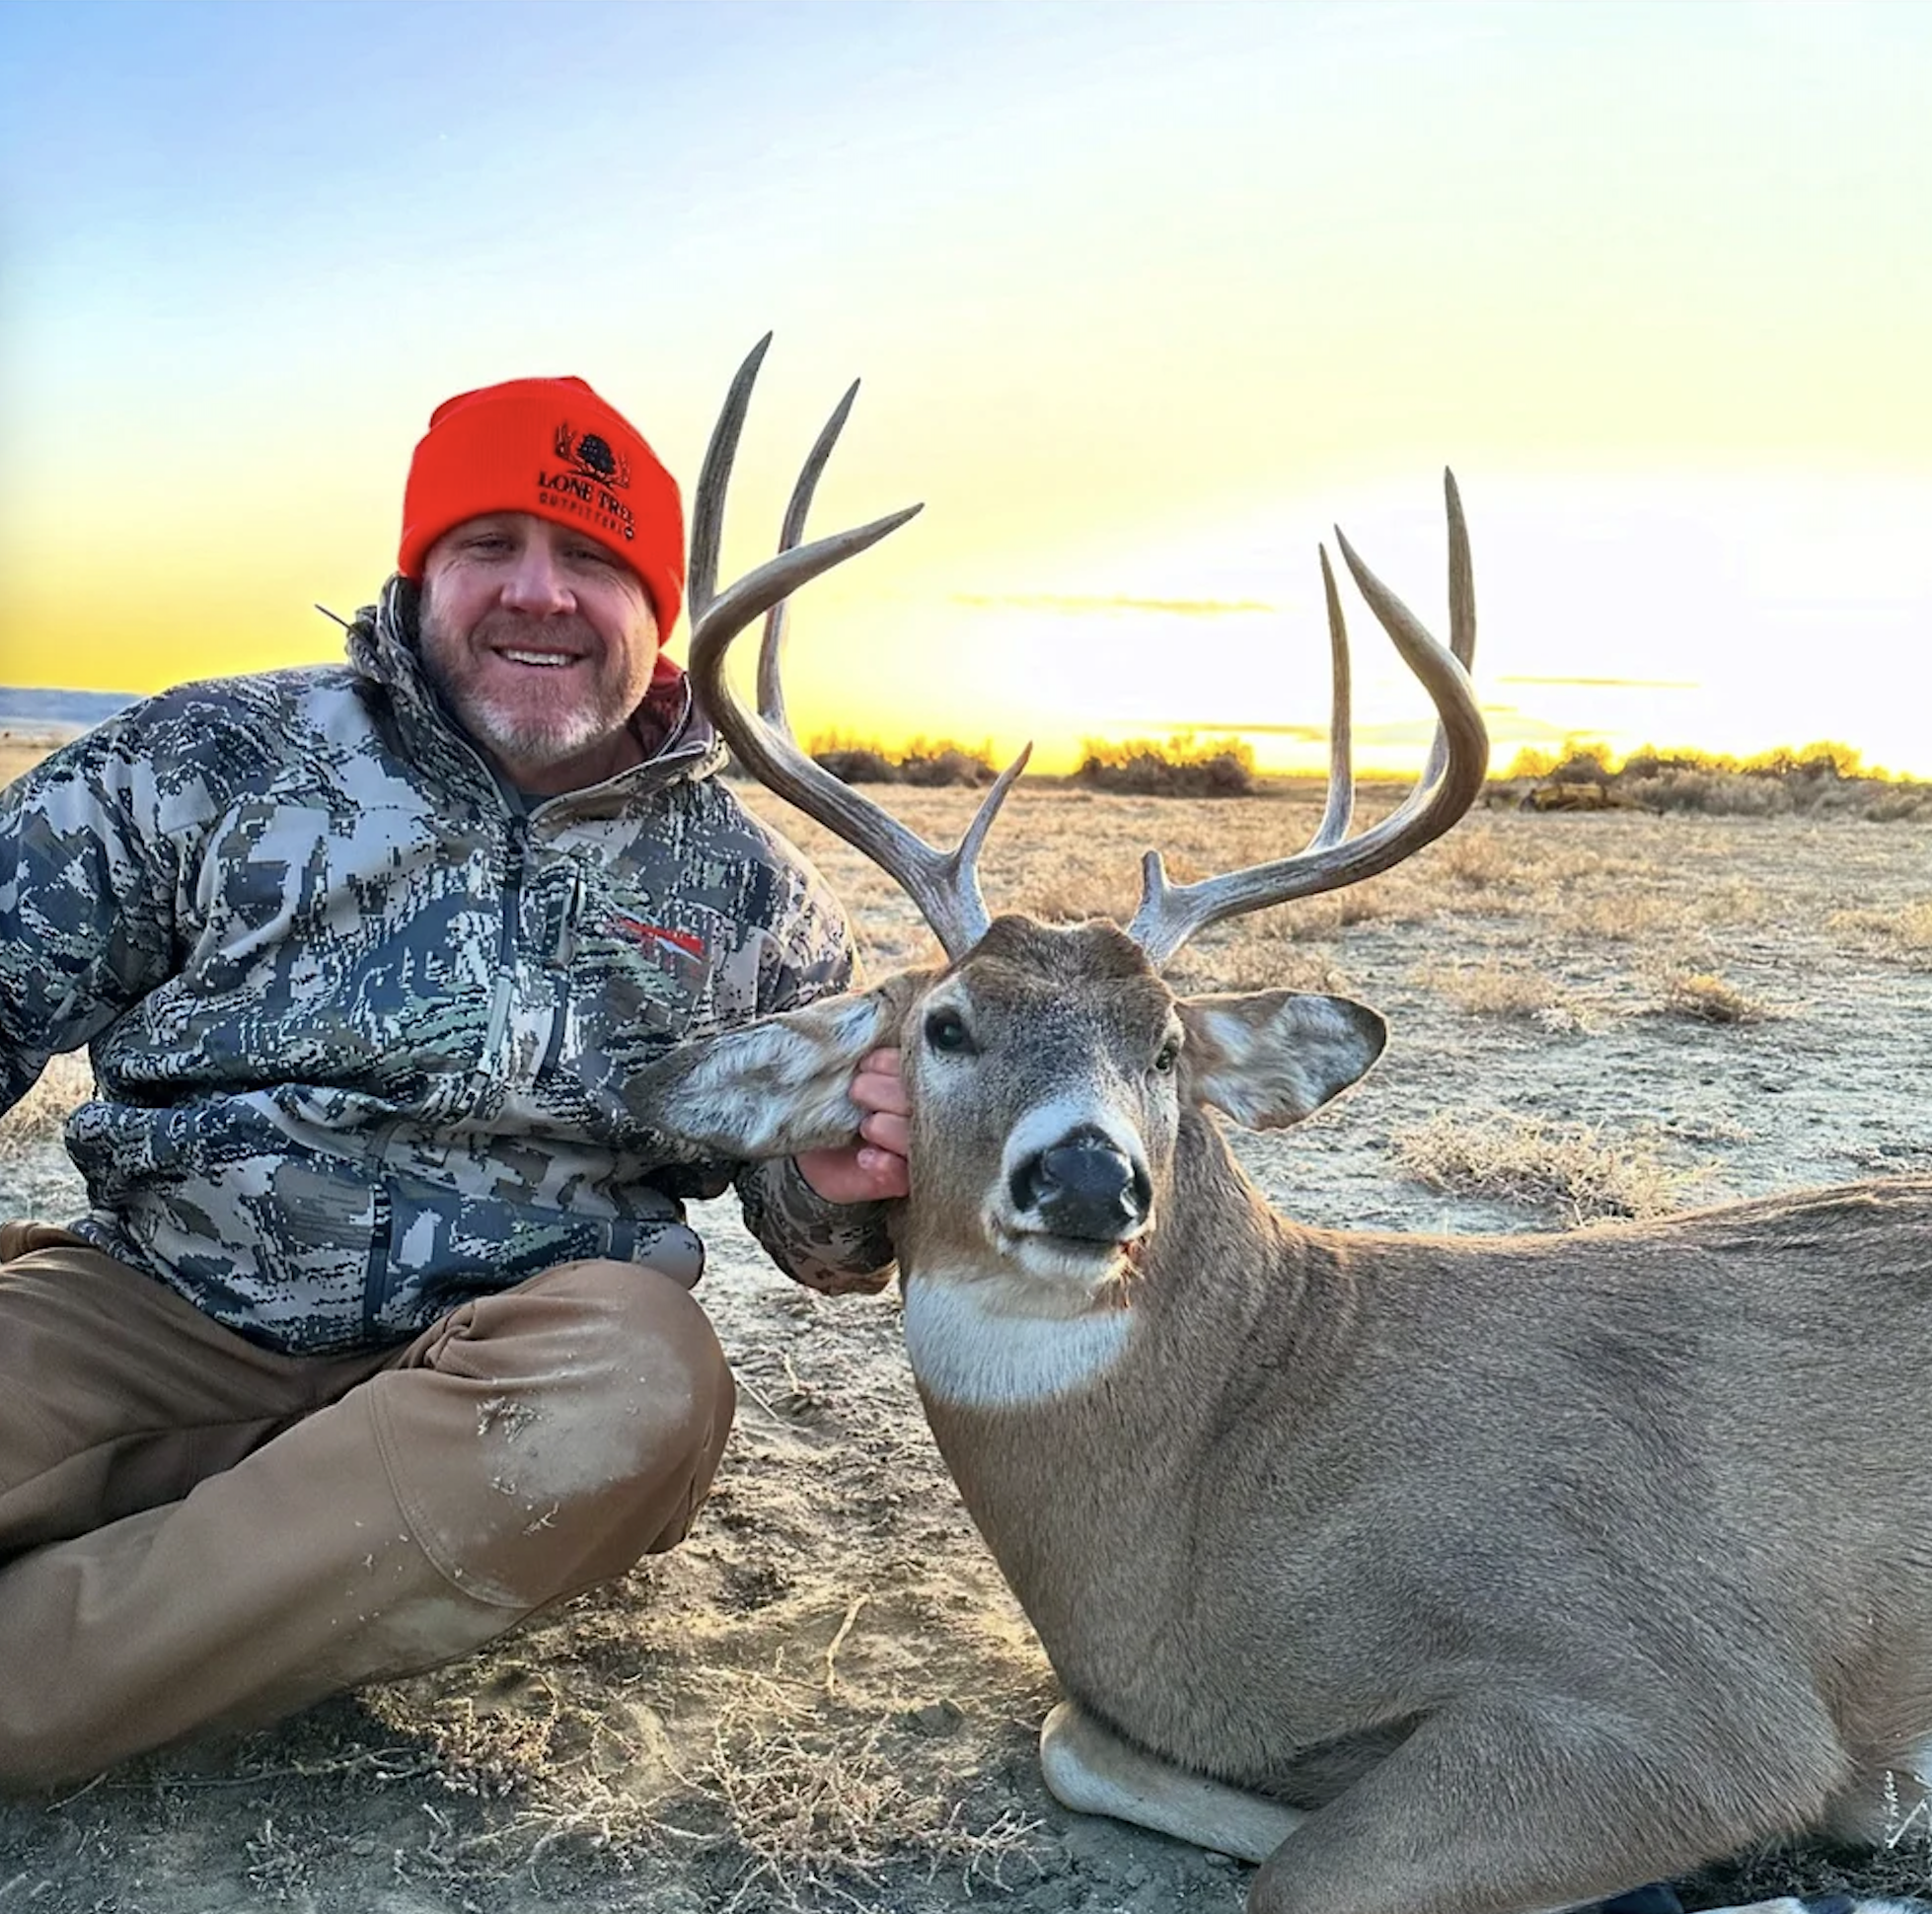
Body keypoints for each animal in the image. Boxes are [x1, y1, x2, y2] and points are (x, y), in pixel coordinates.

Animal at [631, 339, 1932, 1914]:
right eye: (944, 1026)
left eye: (1167, 1045)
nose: (1087, 1175)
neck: (1213, 1497)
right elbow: (1084, 1743)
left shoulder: (1687, 1694)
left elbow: (1300, 1872)